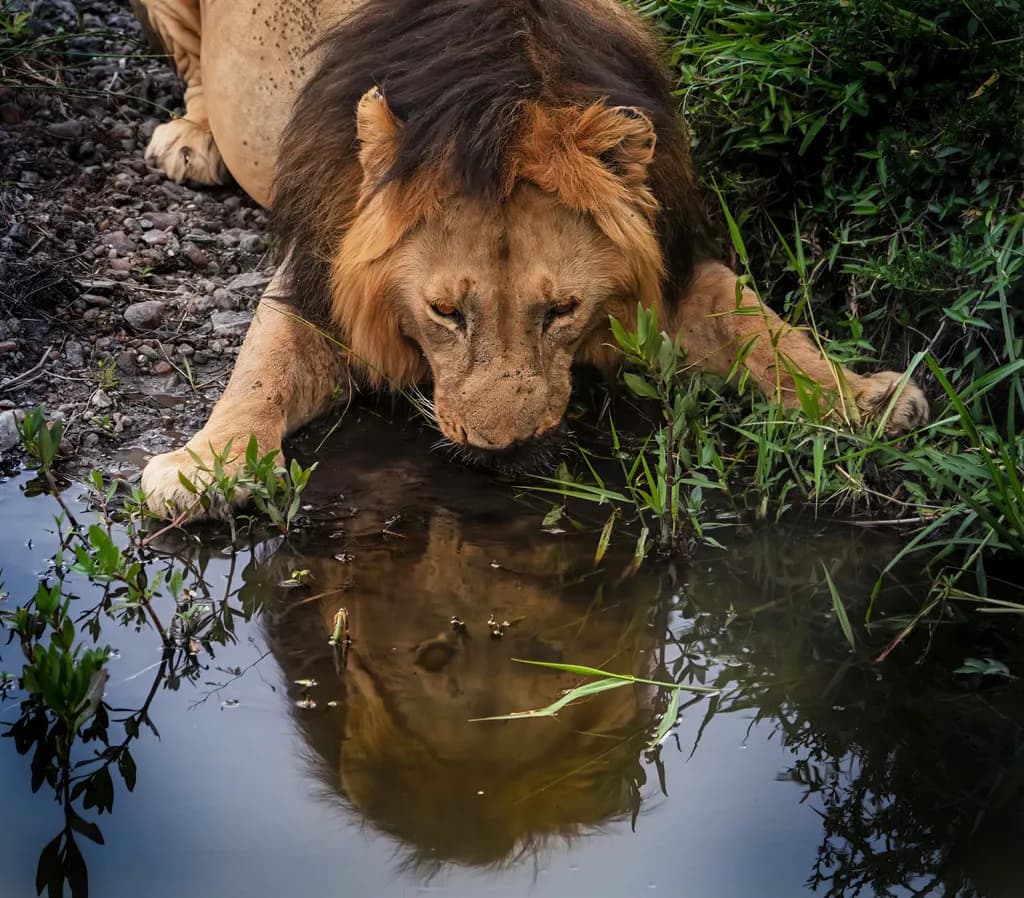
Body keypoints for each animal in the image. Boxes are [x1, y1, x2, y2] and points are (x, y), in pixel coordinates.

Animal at [132, 0, 928, 518]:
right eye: (445, 313)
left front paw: (863, 397)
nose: (502, 450)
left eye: (564, 310)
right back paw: (191, 141)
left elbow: (760, 327)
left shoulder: (673, 267)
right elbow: (261, 372)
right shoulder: (313, 271)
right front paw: (201, 469)